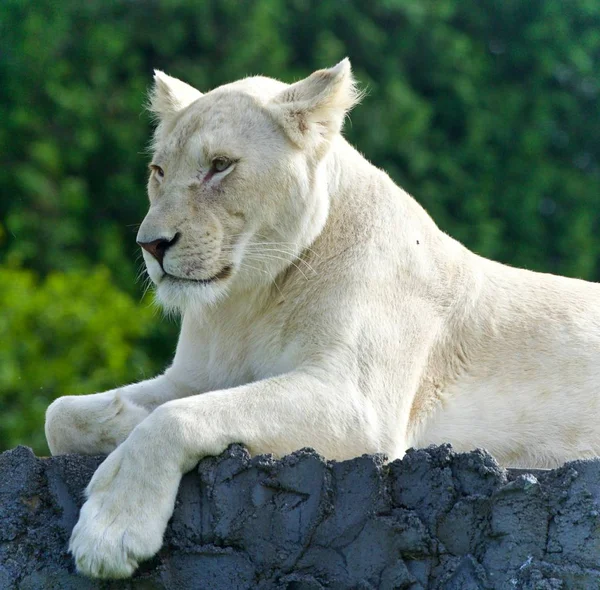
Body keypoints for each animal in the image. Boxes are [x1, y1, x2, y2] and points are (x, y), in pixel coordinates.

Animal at [44, 61, 600, 584]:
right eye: (159, 170)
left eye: (220, 166)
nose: (152, 245)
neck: (250, 300)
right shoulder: (193, 376)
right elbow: (61, 412)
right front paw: (119, 427)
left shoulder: (358, 405)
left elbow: (175, 417)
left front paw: (111, 531)